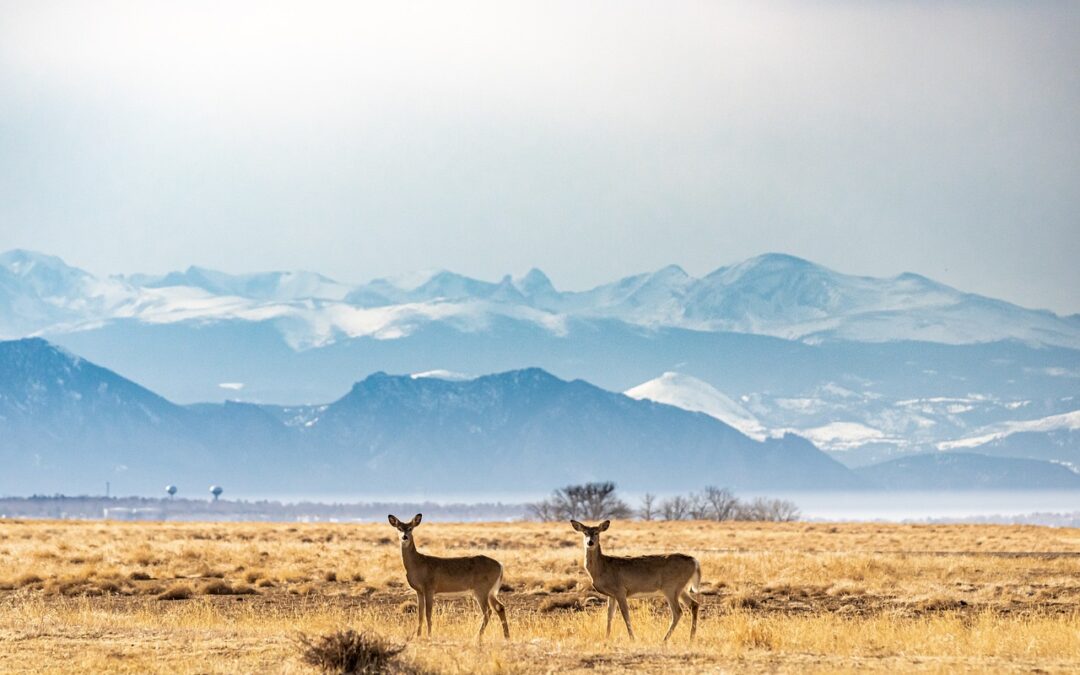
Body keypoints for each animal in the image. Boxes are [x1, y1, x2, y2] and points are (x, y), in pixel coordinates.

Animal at [570, 518, 704, 639]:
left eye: (597, 532)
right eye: (585, 532)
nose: (590, 542)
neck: (602, 567)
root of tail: (695, 562)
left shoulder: (620, 590)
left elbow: (625, 614)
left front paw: (632, 638)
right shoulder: (611, 595)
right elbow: (609, 615)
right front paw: (606, 637)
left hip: (671, 587)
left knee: (678, 612)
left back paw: (665, 640)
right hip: (680, 589)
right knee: (694, 604)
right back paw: (691, 637)